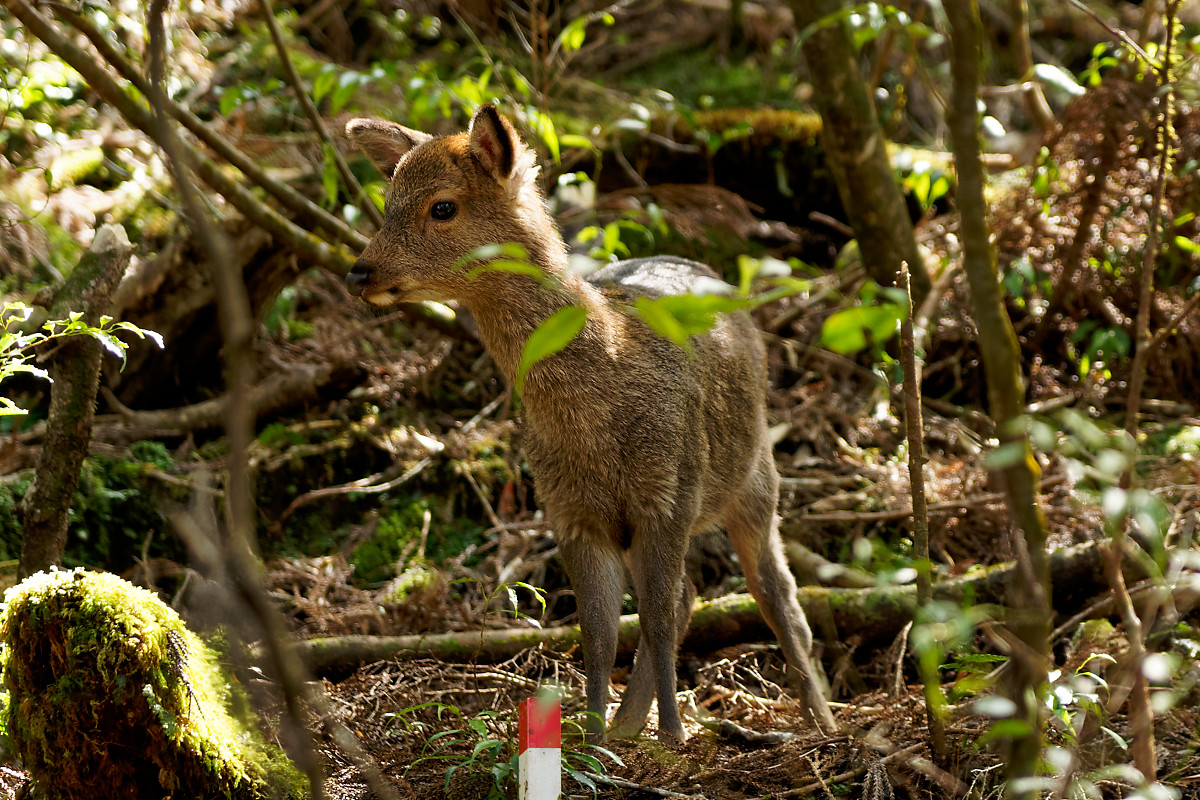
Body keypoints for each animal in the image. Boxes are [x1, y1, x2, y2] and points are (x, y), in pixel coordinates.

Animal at [343, 106, 840, 743]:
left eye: (443, 206)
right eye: (388, 201)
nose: (360, 273)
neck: (598, 416)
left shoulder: (669, 493)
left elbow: (654, 618)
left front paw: (673, 737)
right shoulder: (570, 510)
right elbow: (600, 634)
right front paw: (595, 738)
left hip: (756, 479)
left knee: (777, 597)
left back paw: (820, 719)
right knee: (691, 594)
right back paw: (629, 723)